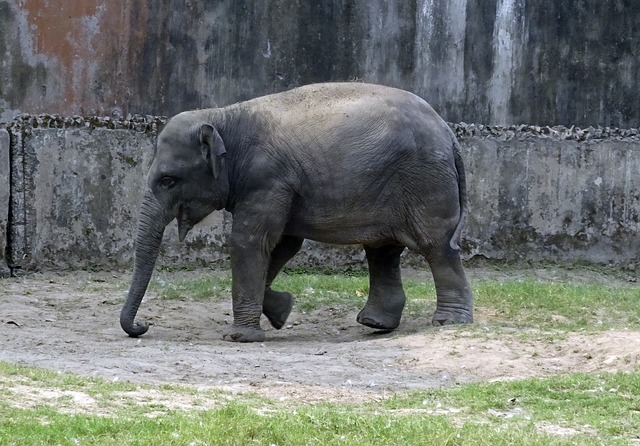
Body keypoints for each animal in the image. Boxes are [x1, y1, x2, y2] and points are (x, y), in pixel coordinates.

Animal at [120, 83, 472, 342]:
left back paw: (448, 322)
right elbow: (283, 244)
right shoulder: (278, 186)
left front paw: (241, 336)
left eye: (168, 180)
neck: (223, 116)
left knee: (435, 245)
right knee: (382, 251)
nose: (144, 326)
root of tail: (448, 131)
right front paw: (282, 311)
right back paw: (376, 324)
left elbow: (250, 241)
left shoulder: (268, 179)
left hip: (425, 180)